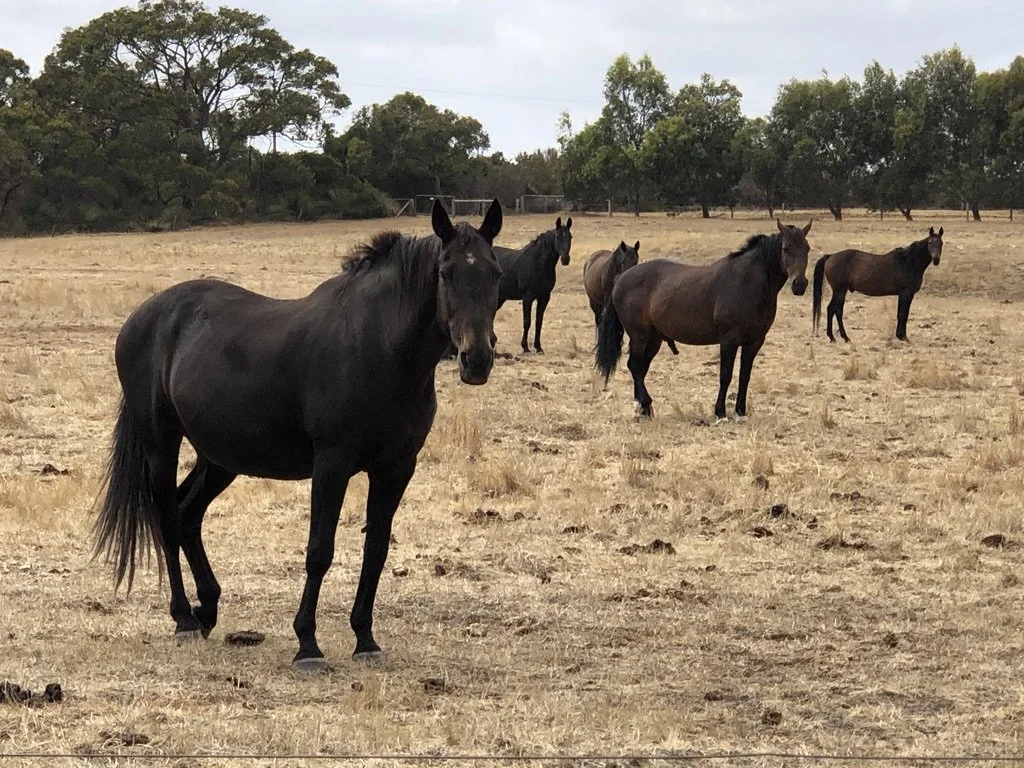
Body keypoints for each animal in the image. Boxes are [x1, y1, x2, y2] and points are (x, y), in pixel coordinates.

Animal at [91, 199, 504, 673]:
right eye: (445, 272)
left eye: (495, 272)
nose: (477, 359)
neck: (376, 348)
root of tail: (142, 318)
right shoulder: (331, 464)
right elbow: (319, 551)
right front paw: (308, 644)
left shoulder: (397, 467)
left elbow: (376, 550)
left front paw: (365, 639)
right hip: (161, 443)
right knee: (168, 518)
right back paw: (184, 619)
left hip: (221, 458)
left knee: (188, 513)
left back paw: (207, 608)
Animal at [595, 219, 812, 421]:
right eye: (786, 248)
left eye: (807, 249)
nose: (799, 284)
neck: (747, 281)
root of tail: (622, 279)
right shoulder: (729, 340)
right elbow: (725, 375)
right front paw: (720, 412)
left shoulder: (754, 342)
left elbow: (745, 376)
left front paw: (740, 411)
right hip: (639, 336)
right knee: (634, 366)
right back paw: (646, 405)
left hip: (653, 339)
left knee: (640, 367)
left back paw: (641, 408)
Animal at [812, 227, 944, 343]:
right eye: (930, 243)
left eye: (941, 243)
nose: (936, 260)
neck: (908, 262)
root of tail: (830, 256)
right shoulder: (906, 293)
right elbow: (903, 314)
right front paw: (903, 337)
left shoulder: (904, 294)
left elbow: (902, 314)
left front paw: (901, 336)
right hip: (840, 291)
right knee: (836, 310)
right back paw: (843, 337)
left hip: (839, 291)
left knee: (832, 310)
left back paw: (834, 337)